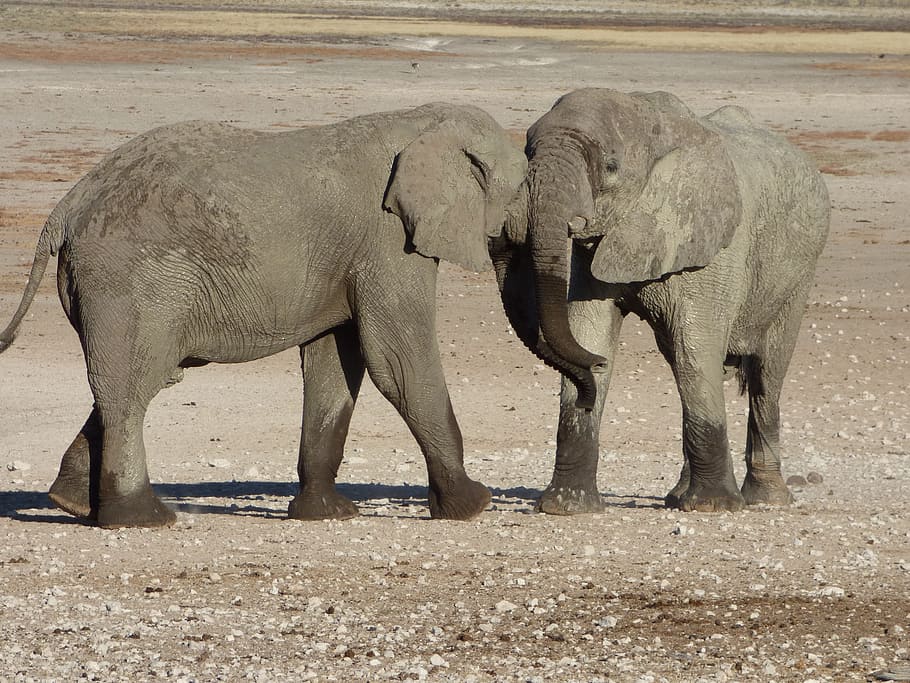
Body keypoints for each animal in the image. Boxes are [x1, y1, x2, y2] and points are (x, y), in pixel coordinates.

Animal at [0, 102, 531, 528]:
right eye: (524, 185)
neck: (421, 122)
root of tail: (66, 207)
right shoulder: (387, 239)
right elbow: (396, 359)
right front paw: (473, 506)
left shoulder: (351, 255)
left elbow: (335, 363)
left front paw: (325, 515)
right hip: (129, 279)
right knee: (133, 387)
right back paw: (143, 520)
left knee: (139, 378)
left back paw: (69, 503)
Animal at [492, 88, 830, 515]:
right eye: (528, 151)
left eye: (611, 166)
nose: (507, 228)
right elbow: (590, 333)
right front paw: (566, 507)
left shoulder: (713, 247)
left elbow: (695, 350)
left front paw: (714, 507)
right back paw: (677, 497)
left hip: (799, 272)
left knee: (764, 376)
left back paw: (764, 499)